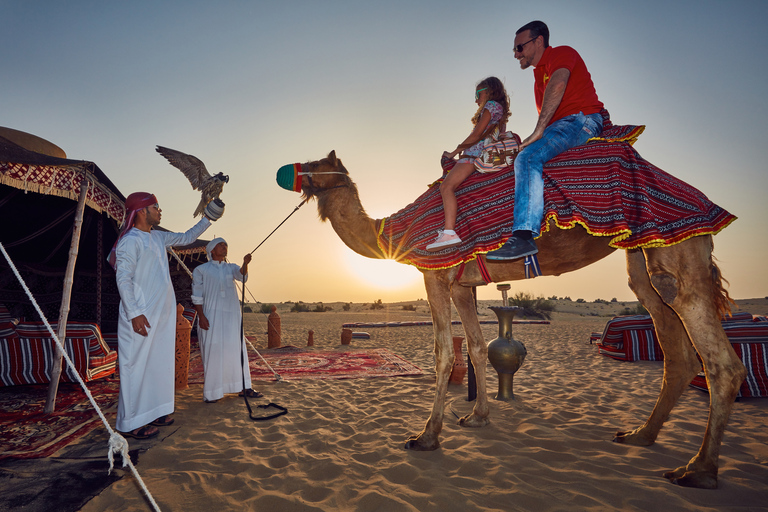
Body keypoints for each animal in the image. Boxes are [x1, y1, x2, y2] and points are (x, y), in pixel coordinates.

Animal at [286, 151, 744, 488]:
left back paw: (698, 469)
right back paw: (640, 435)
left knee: (720, 361)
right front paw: (477, 417)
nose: (290, 173)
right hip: (643, 256)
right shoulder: (462, 285)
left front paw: (427, 437)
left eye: (314, 164)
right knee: (675, 348)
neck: (398, 229)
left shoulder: (435, 274)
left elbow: (442, 354)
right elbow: (474, 347)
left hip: (679, 250)